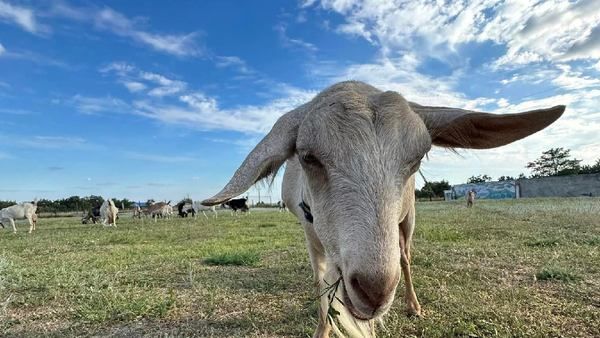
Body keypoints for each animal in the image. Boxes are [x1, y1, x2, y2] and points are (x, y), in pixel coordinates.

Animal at [202, 80, 564, 336]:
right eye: (307, 157)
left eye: (418, 158)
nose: (374, 291)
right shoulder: (309, 231)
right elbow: (320, 283)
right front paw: (322, 328)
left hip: (408, 219)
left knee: (404, 257)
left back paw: (413, 305)